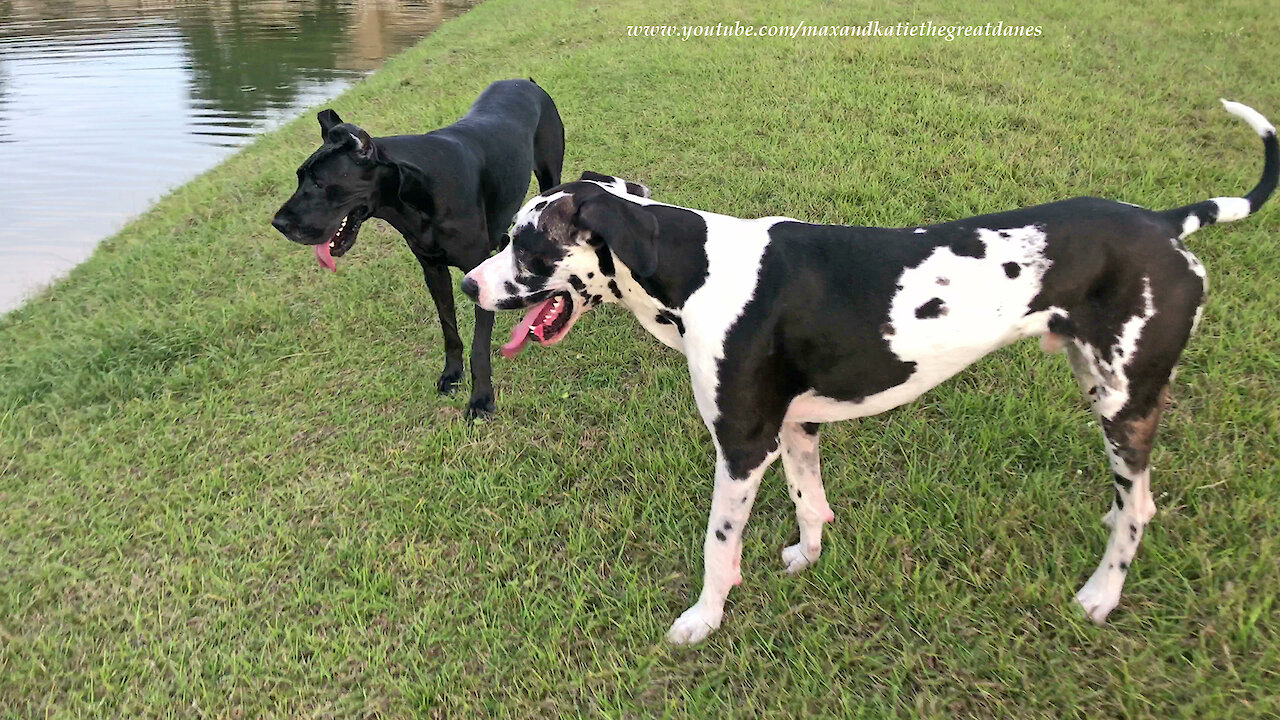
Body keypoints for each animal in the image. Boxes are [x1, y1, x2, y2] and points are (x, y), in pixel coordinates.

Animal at [272, 77, 563, 415]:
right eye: (299, 178)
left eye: (319, 184)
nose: (278, 223)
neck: (413, 195)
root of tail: (525, 81)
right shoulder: (433, 270)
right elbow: (449, 328)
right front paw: (452, 373)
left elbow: (479, 345)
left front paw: (481, 398)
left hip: (549, 173)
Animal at [460, 102, 1269, 645]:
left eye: (526, 244)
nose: (466, 285)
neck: (699, 269)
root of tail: (1165, 224)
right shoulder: (794, 428)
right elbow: (809, 503)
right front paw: (807, 556)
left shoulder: (742, 447)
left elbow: (718, 547)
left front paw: (703, 619)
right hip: (1099, 385)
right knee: (1134, 497)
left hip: (1126, 404)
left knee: (1139, 511)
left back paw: (1102, 593)